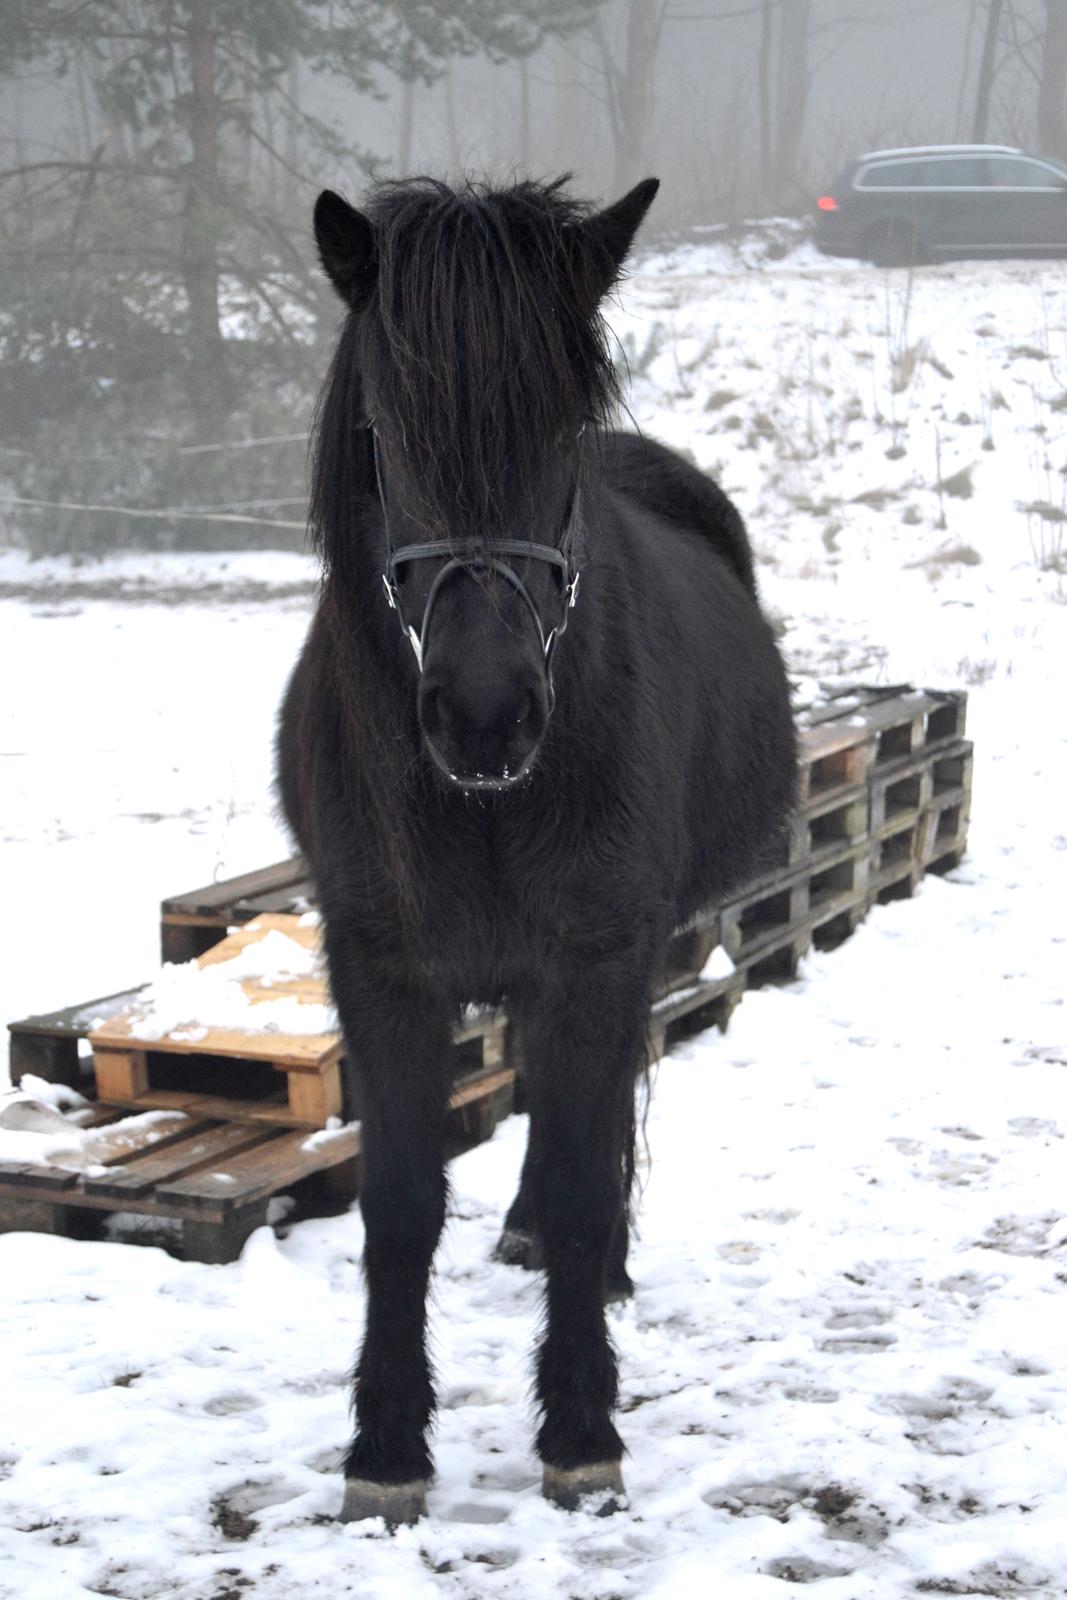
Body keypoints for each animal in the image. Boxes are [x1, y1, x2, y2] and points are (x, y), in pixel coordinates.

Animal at [276, 174, 796, 1526]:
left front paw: (577, 1424)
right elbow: (401, 1201)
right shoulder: (378, 969)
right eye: (385, 434)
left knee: (606, 1105)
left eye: (560, 429)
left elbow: (576, 1168)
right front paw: (386, 1449)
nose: (485, 712)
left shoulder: (596, 954)